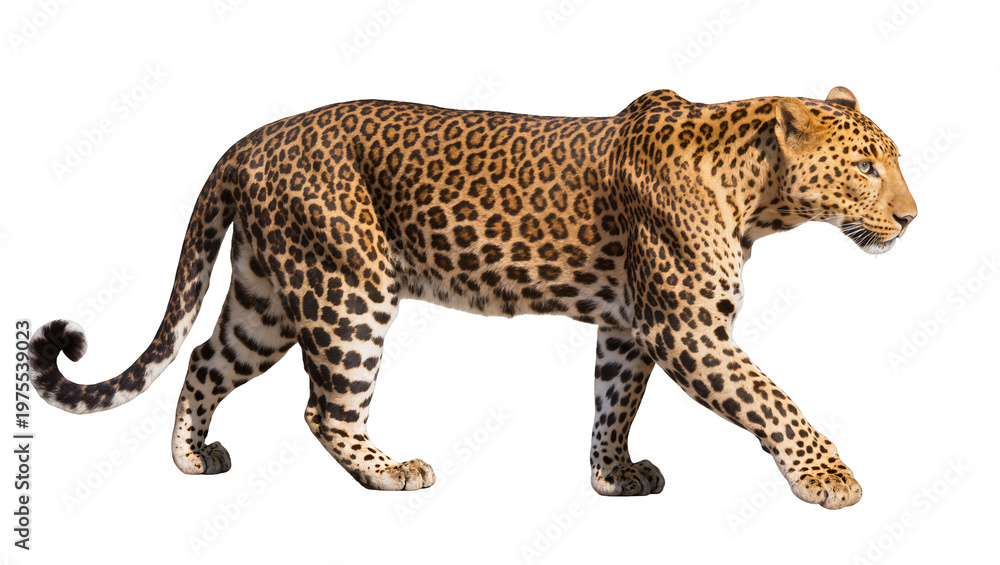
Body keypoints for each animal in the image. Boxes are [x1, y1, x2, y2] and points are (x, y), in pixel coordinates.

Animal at [28, 86, 917, 509]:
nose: (912, 216)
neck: (757, 193)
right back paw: (390, 472)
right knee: (324, 408)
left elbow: (613, 403)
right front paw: (830, 478)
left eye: (891, 161)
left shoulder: (631, 329)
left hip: (268, 297)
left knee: (209, 356)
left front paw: (612, 476)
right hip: (348, 287)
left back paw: (191, 456)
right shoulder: (689, 329)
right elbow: (775, 399)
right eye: (866, 165)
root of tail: (250, 141)